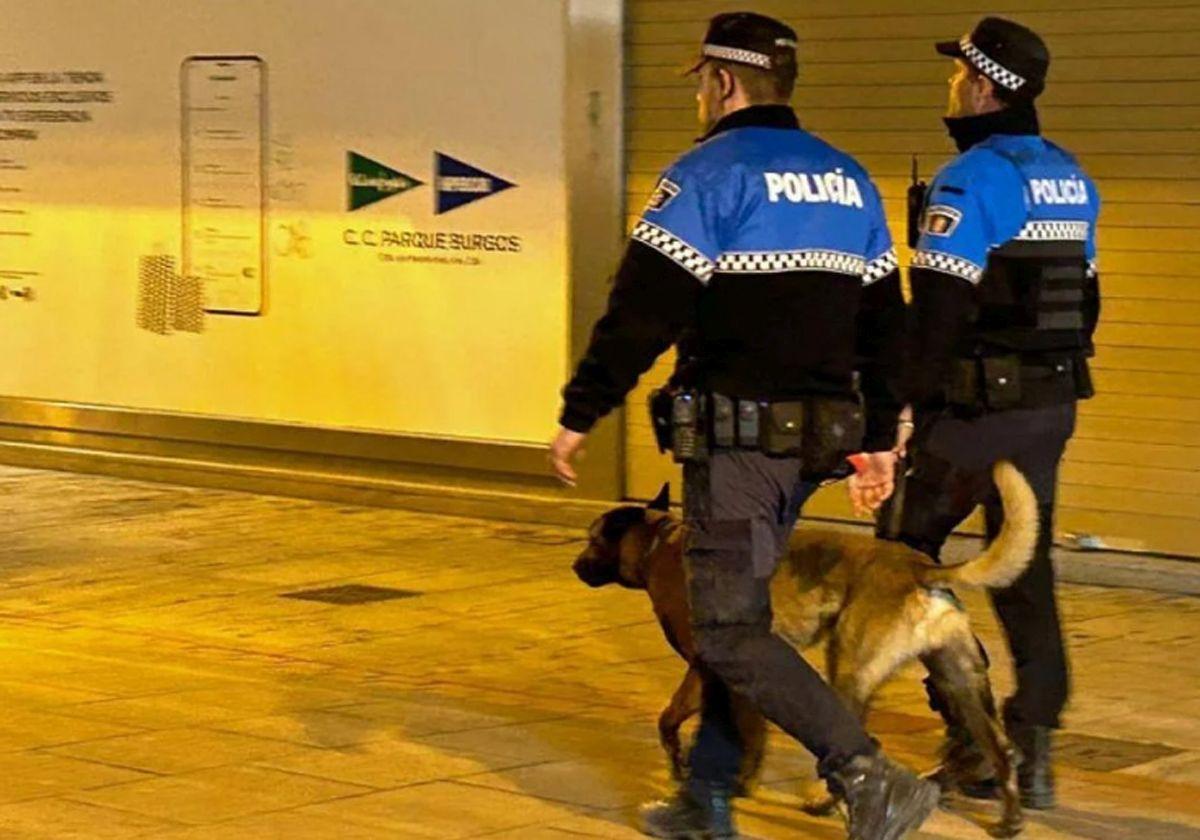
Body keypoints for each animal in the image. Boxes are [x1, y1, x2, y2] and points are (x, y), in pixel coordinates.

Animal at [568, 463, 1032, 835]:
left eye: (592, 539)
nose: (574, 566)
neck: (659, 545)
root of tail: (921, 567)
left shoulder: (703, 671)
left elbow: (668, 721)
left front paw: (683, 769)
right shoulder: (743, 683)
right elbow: (752, 736)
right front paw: (740, 782)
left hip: (848, 673)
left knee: (859, 744)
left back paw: (835, 803)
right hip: (961, 683)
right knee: (1003, 751)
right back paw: (1009, 819)